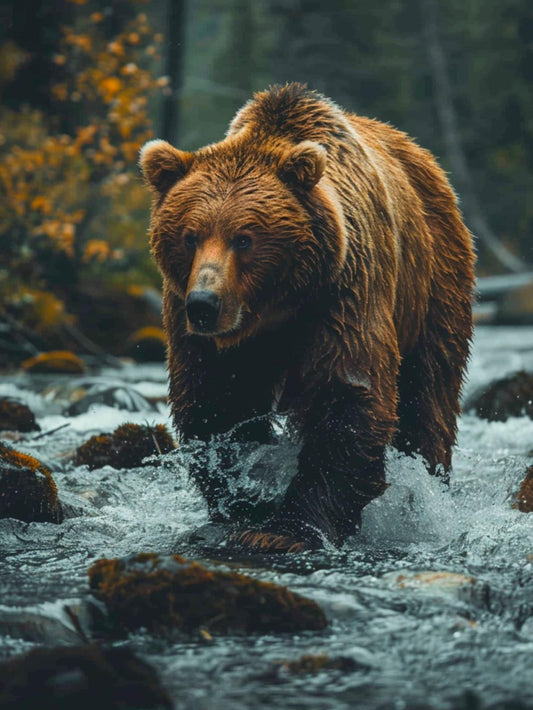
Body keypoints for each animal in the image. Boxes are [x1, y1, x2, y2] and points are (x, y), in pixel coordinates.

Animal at [140, 83, 475, 553]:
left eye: (244, 238)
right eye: (190, 236)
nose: (205, 304)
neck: (274, 308)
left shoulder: (342, 291)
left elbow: (347, 392)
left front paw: (289, 527)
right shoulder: (194, 320)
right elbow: (216, 401)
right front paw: (242, 508)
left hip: (433, 278)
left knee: (428, 390)